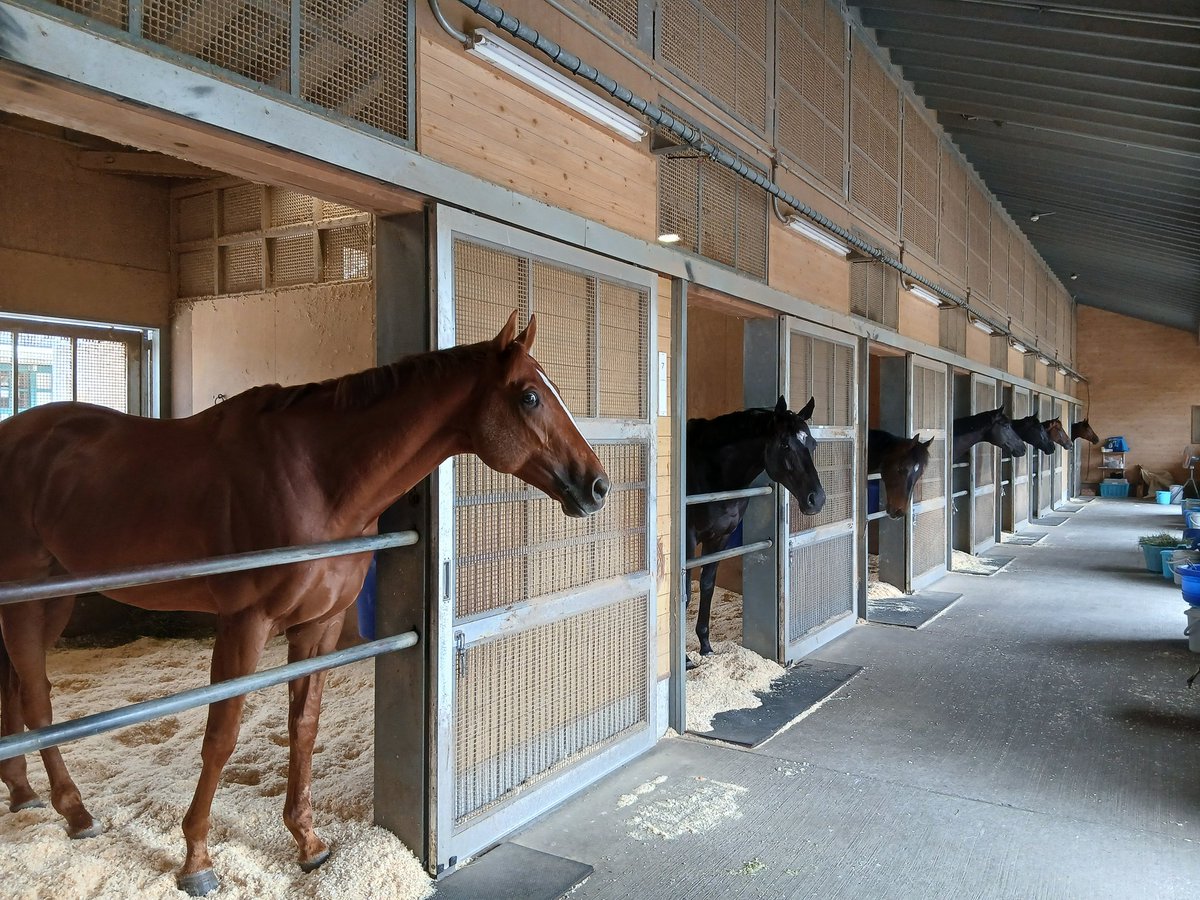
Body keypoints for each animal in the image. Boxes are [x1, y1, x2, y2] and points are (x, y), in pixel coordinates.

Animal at [0, 311, 607, 895]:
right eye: (530, 396)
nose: (597, 485)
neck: (317, 475)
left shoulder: (321, 624)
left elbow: (304, 726)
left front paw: (308, 842)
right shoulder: (245, 624)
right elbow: (221, 737)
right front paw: (196, 859)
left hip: (50, 599)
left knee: (18, 687)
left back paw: (25, 793)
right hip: (30, 598)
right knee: (38, 700)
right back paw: (77, 812)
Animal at [686, 397, 825, 657]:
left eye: (812, 444)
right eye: (785, 444)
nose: (817, 499)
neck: (710, 469)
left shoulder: (719, 538)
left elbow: (707, 585)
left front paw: (706, 647)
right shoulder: (688, 540)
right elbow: (686, 594)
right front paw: (686, 660)